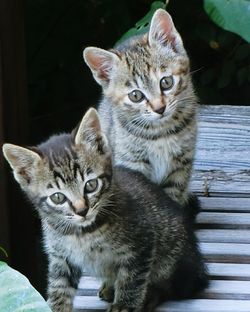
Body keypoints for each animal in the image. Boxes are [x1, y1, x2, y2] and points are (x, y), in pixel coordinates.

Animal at [1, 108, 207, 312]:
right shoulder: (61, 258)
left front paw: (123, 306)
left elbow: (132, 281)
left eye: (91, 185)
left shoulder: (142, 244)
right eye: (58, 197)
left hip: (173, 254)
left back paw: (150, 295)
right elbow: (59, 289)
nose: (82, 210)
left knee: (174, 284)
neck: (81, 233)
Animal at [83, 8, 198, 208]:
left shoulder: (180, 167)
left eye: (166, 82)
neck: (161, 133)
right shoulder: (131, 164)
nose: (160, 108)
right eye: (136, 96)